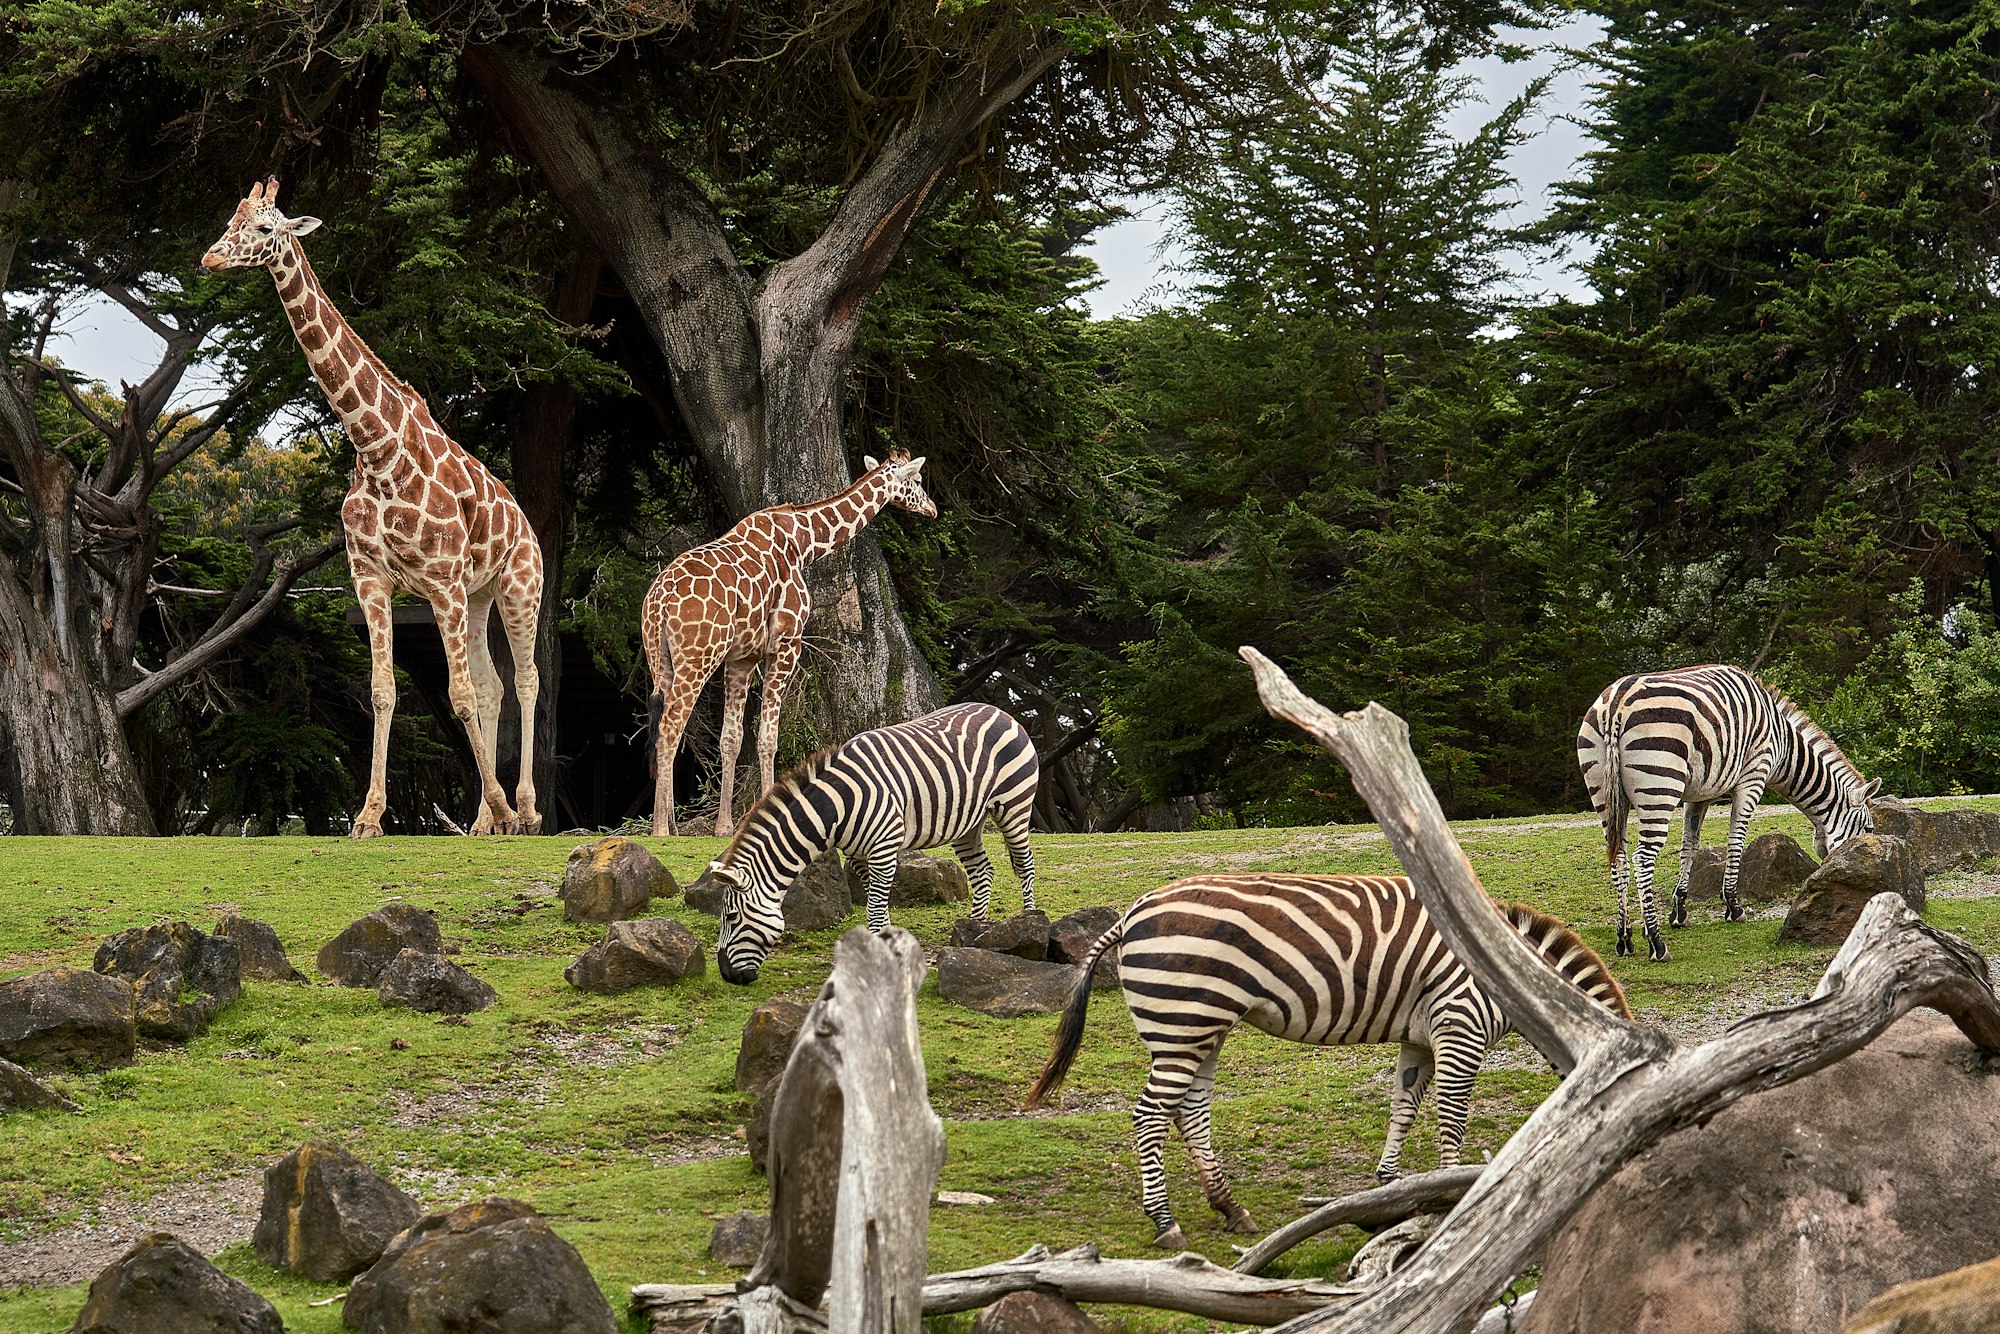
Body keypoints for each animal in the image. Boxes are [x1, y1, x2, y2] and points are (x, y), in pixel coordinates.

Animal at [204, 183, 548, 840]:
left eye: (264, 228)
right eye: (230, 219)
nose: (210, 258)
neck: (375, 445)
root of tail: (525, 523)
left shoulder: (439, 581)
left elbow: (458, 696)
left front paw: (498, 807)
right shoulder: (372, 578)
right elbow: (385, 691)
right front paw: (367, 816)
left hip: (519, 586)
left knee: (523, 680)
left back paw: (523, 809)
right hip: (478, 595)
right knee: (493, 686)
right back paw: (483, 822)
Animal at [648, 454, 944, 840]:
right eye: (918, 480)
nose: (932, 508)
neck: (805, 543)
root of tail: (659, 601)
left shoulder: (742, 657)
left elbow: (732, 738)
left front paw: (725, 826)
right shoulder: (786, 644)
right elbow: (768, 737)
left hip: (661, 660)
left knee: (661, 728)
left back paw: (670, 822)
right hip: (697, 659)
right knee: (670, 728)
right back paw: (659, 829)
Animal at [688, 704, 1040, 988]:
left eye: (731, 917)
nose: (727, 976)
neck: (835, 809)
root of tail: (999, 710)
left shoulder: (883, 847)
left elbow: (874, 907)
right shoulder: (857, 854)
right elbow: (877, 904)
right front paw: (885, 946)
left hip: (1014, 804)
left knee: (1024, 863)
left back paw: (1028, 922)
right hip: (968, 822)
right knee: (982, 871)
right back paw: (973, 929)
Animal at [1032, 876, 1624, 1256]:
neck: (1515, 978)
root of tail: (1132, 913)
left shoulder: (1420, 1038)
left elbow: (1404, 1105)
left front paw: (1391, 1186)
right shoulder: (1460, 1027)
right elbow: (1452, 1118)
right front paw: (1455, 1195)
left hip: (1200, 1027)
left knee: (1190, 1111)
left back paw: (1230, 1209)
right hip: (1184, 1018)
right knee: (1152, 1115)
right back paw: (1165, 1222)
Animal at [1576, 664, 1872, 960]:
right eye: (1869, 830)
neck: (1783, 742)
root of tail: (1616, 703)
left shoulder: (1699, 794)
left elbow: (1690, 846)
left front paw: (1679, 912)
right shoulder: (1753, 778)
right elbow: (1736, 842)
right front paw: (1733, 906)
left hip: (1605, 794)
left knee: (1619, 858)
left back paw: (1624, 938)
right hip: (1659, 786)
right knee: (1642, 859)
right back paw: (1656, 942)